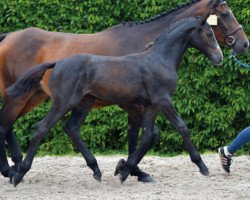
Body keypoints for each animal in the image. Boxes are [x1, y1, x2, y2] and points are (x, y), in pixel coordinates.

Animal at [0, 0, 247, 181]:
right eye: (225, 15)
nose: (243, 45)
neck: (156, 56)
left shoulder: (149, 104)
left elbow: (146, 135)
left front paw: (127, 169)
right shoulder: (156, 100)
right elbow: (177, 128)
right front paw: (201, 166)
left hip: (63, 100)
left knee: (67, 128)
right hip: (47, 100)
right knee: (26, 127)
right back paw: (16, 172)